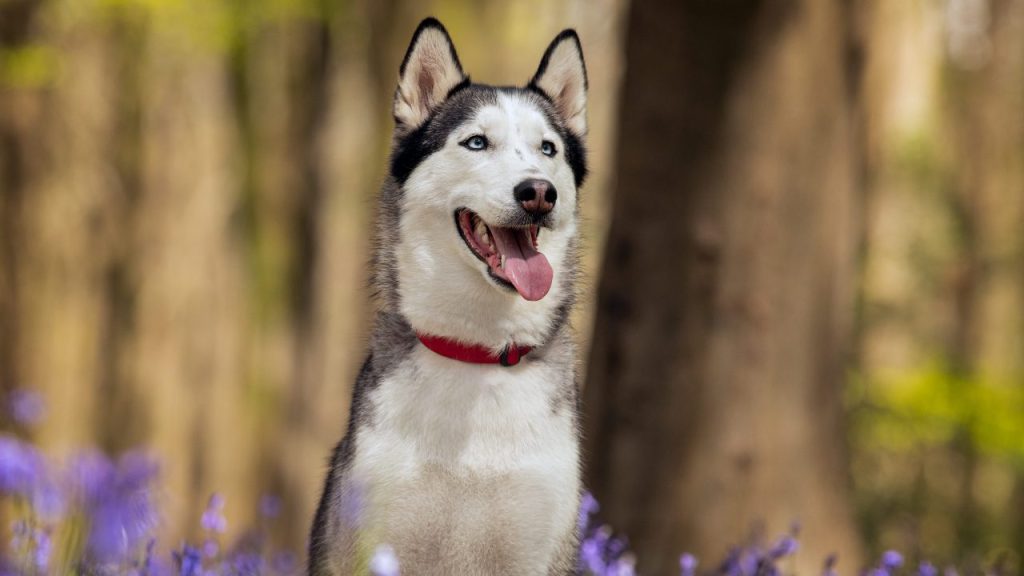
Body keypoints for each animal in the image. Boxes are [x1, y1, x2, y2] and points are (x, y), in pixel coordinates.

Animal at [307, 17, 589, 573]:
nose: (538, 193)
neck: (477, 354)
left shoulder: (534, 546)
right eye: (476, 142)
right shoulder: (373, 542)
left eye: (548, 149)